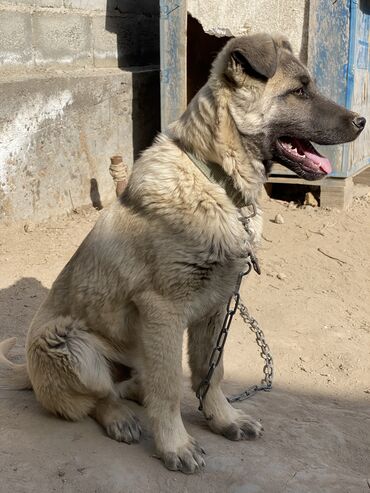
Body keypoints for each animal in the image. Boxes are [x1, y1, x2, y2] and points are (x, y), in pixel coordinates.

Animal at [0, 33, 364, 472]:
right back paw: (120, 418)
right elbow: (171, 387)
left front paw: (222, 419)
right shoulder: (163, 311)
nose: (362, 122)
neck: (216, 179)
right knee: (100, 397)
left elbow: (211, 373)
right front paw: (175, 444)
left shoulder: (215, 308)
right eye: (299, 91)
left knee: (135, 386)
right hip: (68, 345)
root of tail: (30, 374)